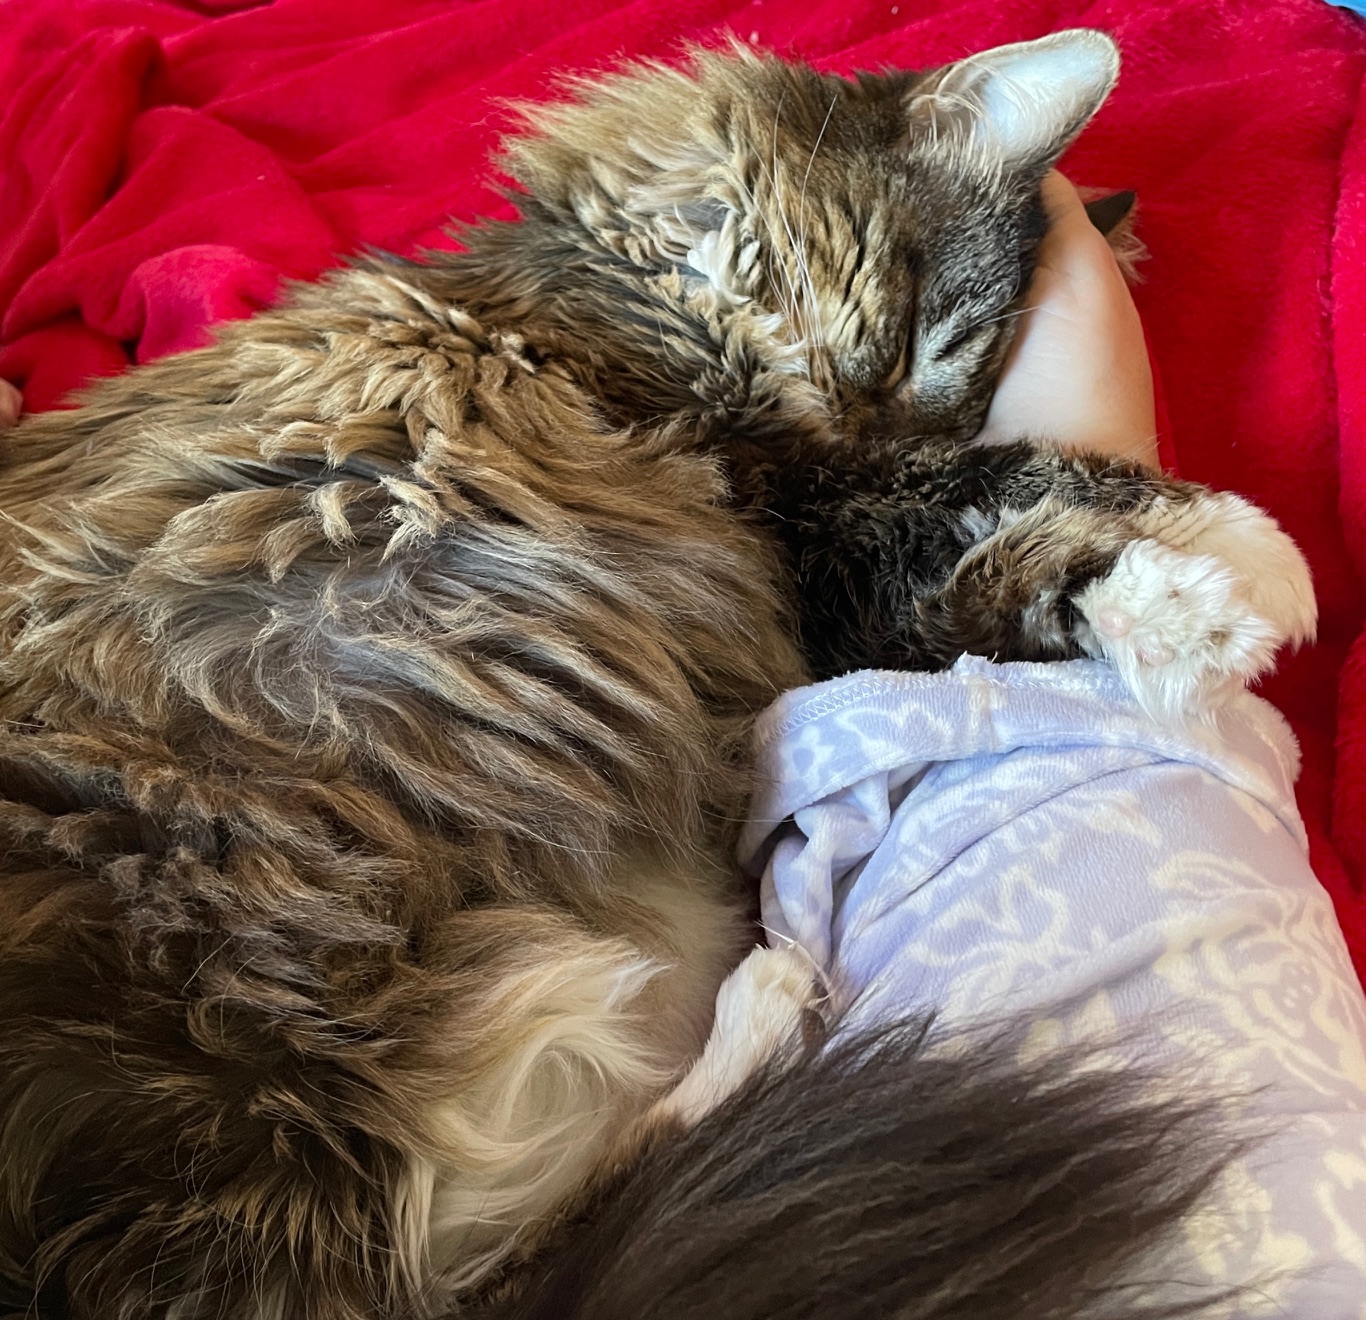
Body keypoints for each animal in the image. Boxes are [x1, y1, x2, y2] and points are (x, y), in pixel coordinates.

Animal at [0, 23, 1311, 1320]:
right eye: (918, 331)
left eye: (962, 372)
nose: (875, 414)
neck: (644, 258)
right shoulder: (807, 515)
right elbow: (1035, 485)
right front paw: (1242, 571)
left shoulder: (825, 566)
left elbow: (993, 560)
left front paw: (1188, 594)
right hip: (237, 1037)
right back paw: (769, 1014)